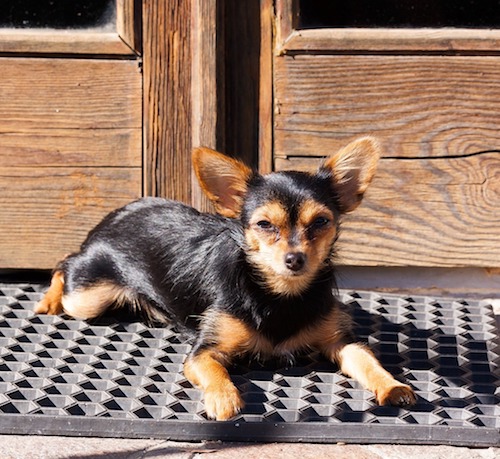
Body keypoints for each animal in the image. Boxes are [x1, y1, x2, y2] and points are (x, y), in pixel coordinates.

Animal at [37, 138, 416, 422]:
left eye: (321, 222)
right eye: (264, 225)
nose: (295, 259)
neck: (278, 296)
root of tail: (115, 214)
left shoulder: (342, 342)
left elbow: (368, 361)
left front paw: (392, 385)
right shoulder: (203, 352)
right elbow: (215, 371)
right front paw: (223, 398)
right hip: (88, 297)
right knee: (64, 263)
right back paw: (48, 300)